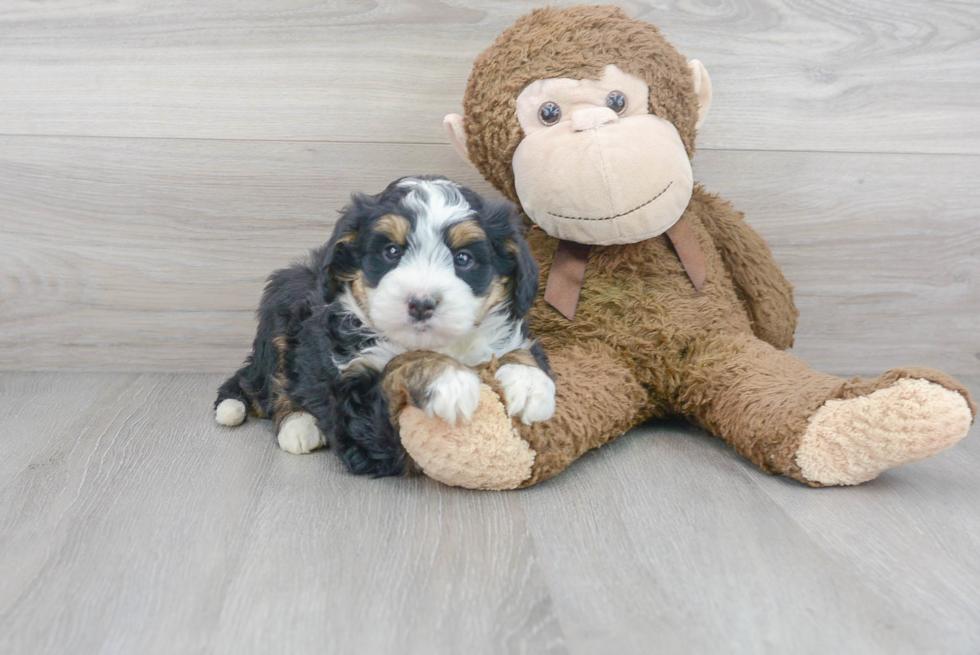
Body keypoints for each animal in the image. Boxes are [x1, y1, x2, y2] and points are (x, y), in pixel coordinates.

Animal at [213, 177, 556, 480]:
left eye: (463, 258)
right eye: (391, 252)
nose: (421, 304)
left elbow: (523, 350)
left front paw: (529, 384)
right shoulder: (360, 415)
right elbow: (401, 364)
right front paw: (449, 381)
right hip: (281, 310)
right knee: (269, 383)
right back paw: (297, 424)